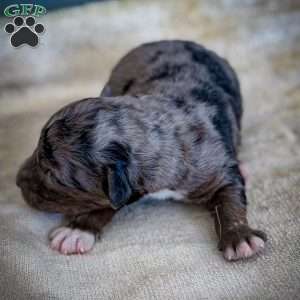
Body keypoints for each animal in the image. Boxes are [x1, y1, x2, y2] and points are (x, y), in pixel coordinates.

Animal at [16, 40, 266, 260]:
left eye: (51, 174)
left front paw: (239, 237)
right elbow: (102, 203)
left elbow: (229, 199)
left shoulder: (215, 169)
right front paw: (77, 230)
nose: (17, 180)